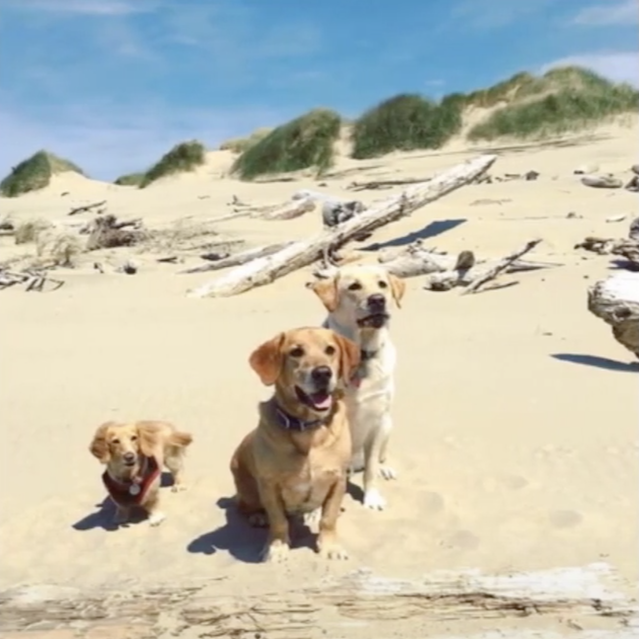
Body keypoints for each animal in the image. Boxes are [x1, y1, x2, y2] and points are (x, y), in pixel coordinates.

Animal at [230, 328, 360, 564]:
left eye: (330, 350)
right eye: (296, 352)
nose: (323, 373)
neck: (308, 429)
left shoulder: (338, 480)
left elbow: (329, 518)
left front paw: (329, 546)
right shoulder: (270, 485)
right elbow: (278, 520)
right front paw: (277, 546)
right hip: (248, 490)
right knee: (244, 506)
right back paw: (257, 516)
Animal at [308, 264, 404, 510]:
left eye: (382, 284)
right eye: (354, 286)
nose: (378, 300)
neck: (360, 356)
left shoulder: (377, 419)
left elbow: (370, 469)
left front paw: (372, 497)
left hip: (388, 424)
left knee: (379, 457)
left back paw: (384, 468)